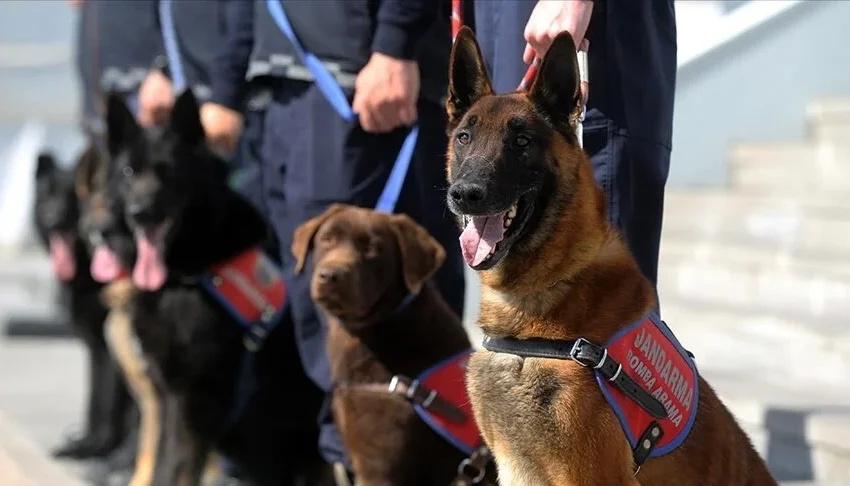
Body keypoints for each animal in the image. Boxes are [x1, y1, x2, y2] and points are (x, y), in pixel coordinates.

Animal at [33, 148, 131, 460]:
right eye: (45, 195)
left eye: (68, 197)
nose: (52, 219)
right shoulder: (97, 347)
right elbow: (95, 398)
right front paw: (89, 444)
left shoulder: (115, 346)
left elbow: (113, 402)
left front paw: (106, 451)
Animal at [102, 89, 334, 484]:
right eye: (129, 172)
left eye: (168, 170)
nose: (139, 213)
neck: (191, 274)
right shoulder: (166, 398)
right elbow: (161, 464)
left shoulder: (193, 402)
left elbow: (173, 470)